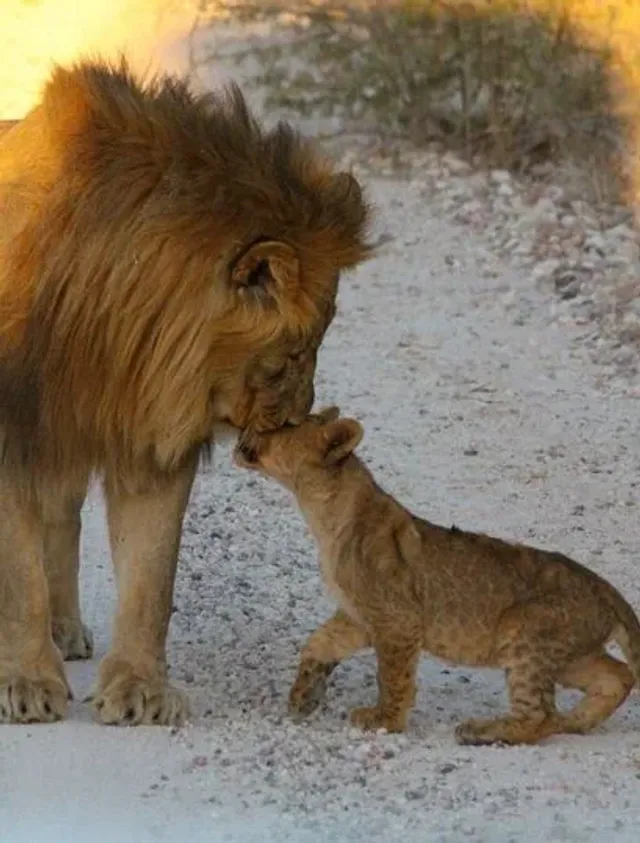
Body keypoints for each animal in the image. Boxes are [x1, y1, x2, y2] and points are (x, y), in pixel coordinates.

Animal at [0, 58, 373, 726]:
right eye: (297, 350)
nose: (299, 416)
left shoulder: (151, 439)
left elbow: (152, 575)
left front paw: (138, 689)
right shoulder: (14, 429)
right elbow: (18, 576)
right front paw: (27, 682)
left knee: (61, 518)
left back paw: (66, 631)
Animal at [235, 408, 640, 745]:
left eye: (284, 425)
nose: (244, 428)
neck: (324, 514)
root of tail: (607, 590)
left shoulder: (398, 620)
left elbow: (393, 675)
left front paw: (385, 720)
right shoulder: (357, 616)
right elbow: (319, 643)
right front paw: (304, 696)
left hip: (525, 631)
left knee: (540, 715)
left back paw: (482, 731)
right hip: (571, 655)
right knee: (618, 675)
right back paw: (580, 720)